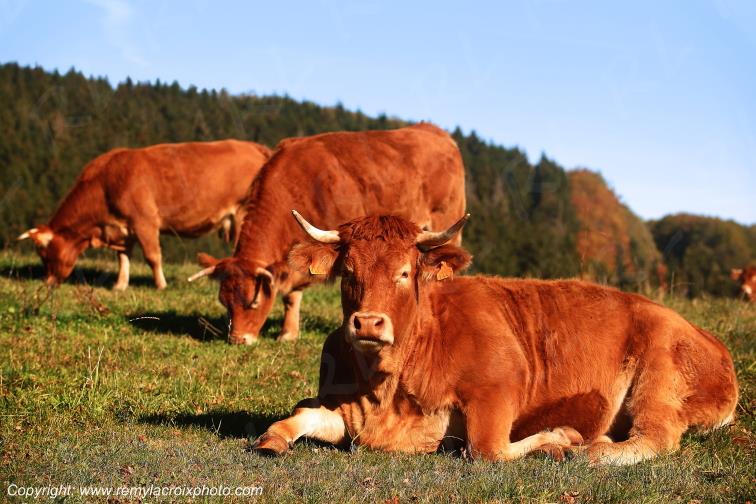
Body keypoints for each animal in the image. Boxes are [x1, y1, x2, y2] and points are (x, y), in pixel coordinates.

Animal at [17, 140, 271, 290]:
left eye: (44, 254)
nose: (47, 282)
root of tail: (251, 146)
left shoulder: (144, 221)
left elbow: (152, 256)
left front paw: (161, 285)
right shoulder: (123, 228)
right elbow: (123, 258)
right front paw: (120, 286)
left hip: (243, 212)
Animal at [188, 123, 466, 344]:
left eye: (253, 303)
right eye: (225, 302)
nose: (237, 340)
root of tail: (434, 131)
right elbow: (291, 295)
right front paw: (288, 333)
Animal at [251, 213, 739, 465]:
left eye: (405, 273)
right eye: (349, 273)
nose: (369, 324)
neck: (386, 391)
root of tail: (707, 338)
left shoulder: (497, 390)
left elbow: (488, 450)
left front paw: (557, 438)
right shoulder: (351, 414)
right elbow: (300, 416)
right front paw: (273, 439)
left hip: (659, 377)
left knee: (655, 437)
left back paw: (590, 448)